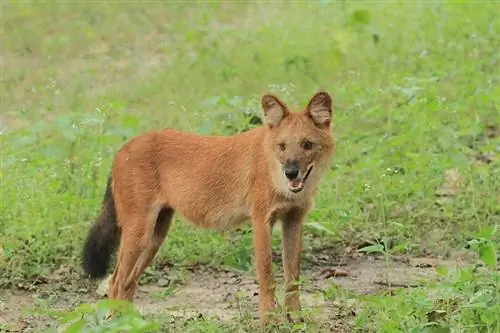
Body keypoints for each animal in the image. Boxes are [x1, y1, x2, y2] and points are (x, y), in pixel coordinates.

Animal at [82, 90, 336, 322]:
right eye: (282, 146)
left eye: (307, 145)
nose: (291, 172)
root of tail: (122, 148)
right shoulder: (260, 221)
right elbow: (267, 277)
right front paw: (270, 322)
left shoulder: (293, 220)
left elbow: (293, 277)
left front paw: (297, 319)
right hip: (139, 232)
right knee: (116, 282)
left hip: (156, 234)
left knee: (128, 282)